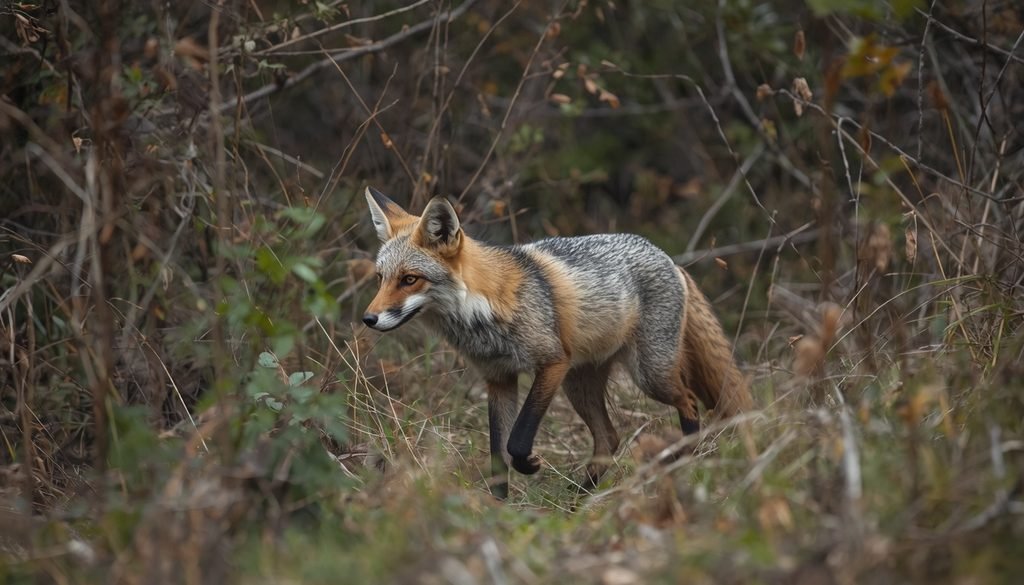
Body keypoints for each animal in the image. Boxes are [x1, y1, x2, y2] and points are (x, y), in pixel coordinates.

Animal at [361, 187, 753, 498]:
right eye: (381, 278)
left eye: (409, 279)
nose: (369, 319)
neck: (485, 308)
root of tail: (670, 259)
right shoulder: (498, 378)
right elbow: (496, 455)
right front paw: (498, 510)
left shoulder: (551, 363)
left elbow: (516, 439)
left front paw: (529, 466)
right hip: (580, 386)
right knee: (609, 439)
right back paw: (578, 499)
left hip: (648, 375)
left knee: (688, 402)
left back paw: (681, 460)